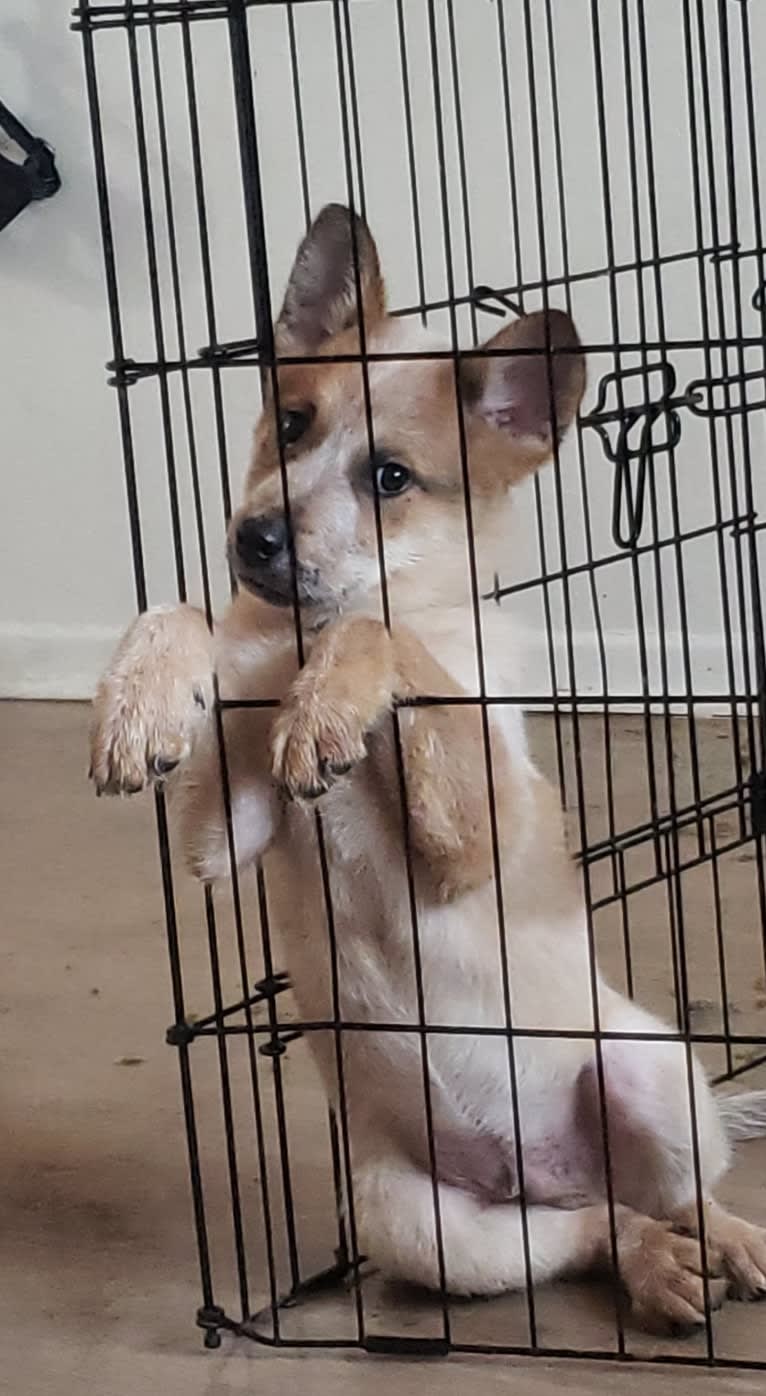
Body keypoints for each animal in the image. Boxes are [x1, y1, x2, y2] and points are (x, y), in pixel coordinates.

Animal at [91, 203, 764, 1328]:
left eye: (391, 478)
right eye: (291, 421)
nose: (255, 537)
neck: (291, 646)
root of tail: (544, 1172)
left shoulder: (478, 832)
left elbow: (384, 633)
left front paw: (327, 702)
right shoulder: (223, 834)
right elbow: (184, 613)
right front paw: (141, 698)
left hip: (651, 1075)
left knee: (683, 1192)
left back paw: (732, 1243)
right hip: (422, 1222)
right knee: (597, 1226)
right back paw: (650, 1262)